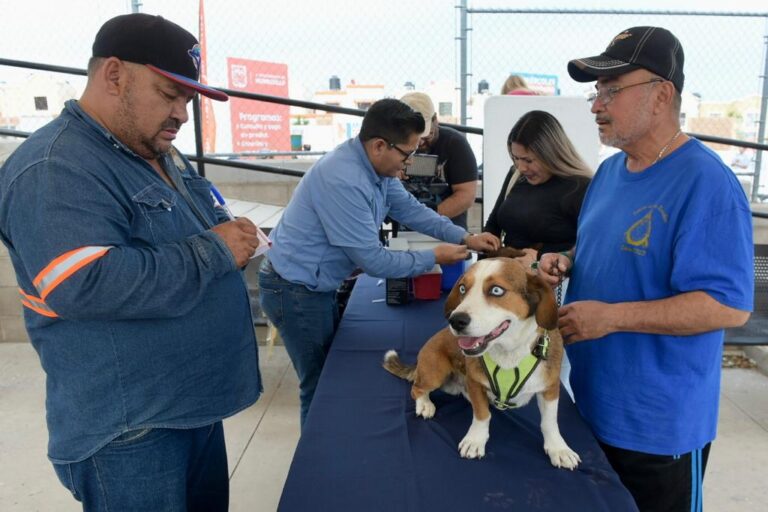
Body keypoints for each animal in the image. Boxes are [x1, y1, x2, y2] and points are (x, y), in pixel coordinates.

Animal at [384, 258, 584, 470]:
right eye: (462, 288)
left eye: (496, 290)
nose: (455, 321)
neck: (509, 352)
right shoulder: (475, 382)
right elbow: (482, 415)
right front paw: (475, 440)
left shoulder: (550, 388)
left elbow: (549, 422)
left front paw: (558, 448)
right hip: (435, 372)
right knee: (417, 388)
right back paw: (425, 405)